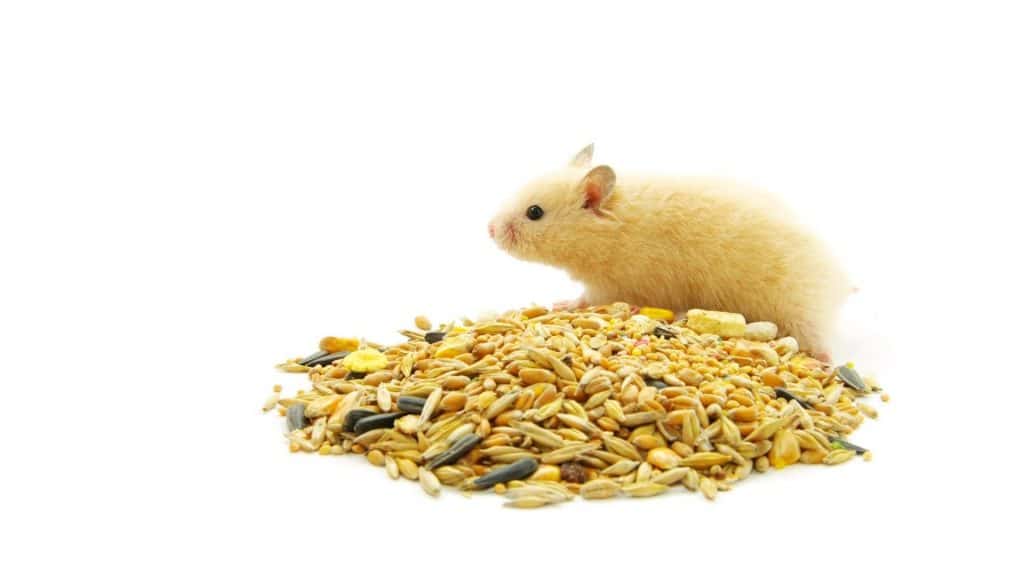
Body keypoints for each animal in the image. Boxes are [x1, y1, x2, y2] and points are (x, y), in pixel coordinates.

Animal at [488, 144, 853, 358]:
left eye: (535, 212)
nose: (489, 230)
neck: (609, 230)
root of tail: (839, 287)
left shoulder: (611, 285)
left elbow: (585, 299)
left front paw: (561, 304)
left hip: (797, 307)